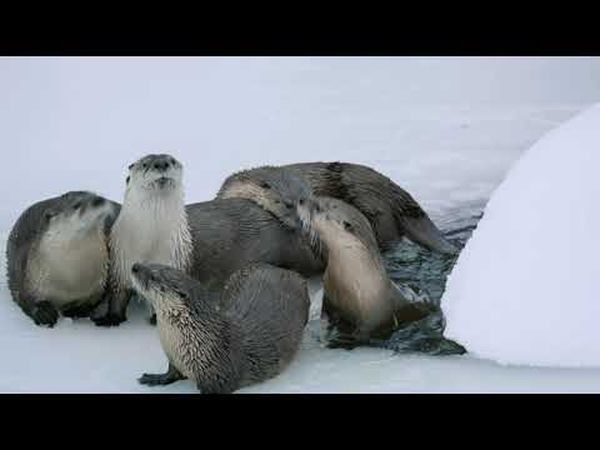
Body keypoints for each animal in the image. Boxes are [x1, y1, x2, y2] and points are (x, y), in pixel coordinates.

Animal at [6, 191, 119, 326]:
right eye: (77, 205)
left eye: (95, 194)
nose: (98, 200)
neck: (71, 280)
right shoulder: (26, 279)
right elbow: (25, 299)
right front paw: (44, 314)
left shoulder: (99, 286)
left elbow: (91, 303)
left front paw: (76, 311)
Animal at [131, 262, 310, 392]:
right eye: (152, 263)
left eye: (153, 276)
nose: (135, 266)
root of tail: (281, 269)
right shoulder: (174, 357)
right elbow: (172, 373)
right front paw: (155, 378)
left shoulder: (218, 377)